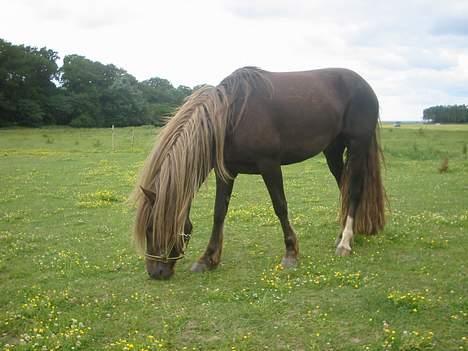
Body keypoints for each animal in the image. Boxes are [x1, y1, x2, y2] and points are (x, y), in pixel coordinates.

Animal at [131, 66, 384, 280]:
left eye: (152, 227)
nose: (155, 272)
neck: (230, 117)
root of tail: (365, 86)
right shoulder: (226, 172)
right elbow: (219, 213)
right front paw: (207, 259)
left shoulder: (269, 165)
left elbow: (280, 207)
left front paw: (291, 253)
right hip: (332, 150)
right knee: (344, 186)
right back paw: (343, 235)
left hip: (357, 146)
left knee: (353, 190)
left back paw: (345, 243)